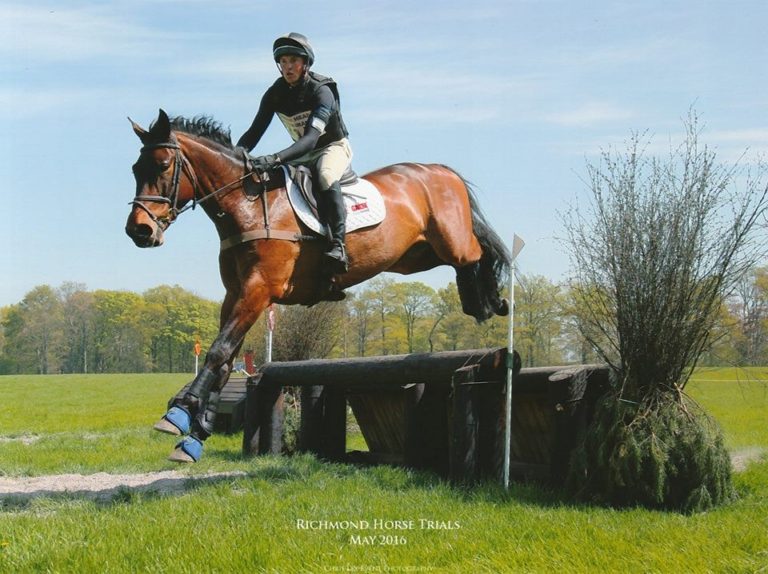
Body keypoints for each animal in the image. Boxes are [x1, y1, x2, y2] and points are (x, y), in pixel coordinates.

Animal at [125, 109, 511, 462]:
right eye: (134, 169)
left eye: (162, 166)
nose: (138, 230)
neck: (247, 204)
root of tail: (440, 170)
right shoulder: (235, 294)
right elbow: (225, 358)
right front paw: (195, 436)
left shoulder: (258, 290)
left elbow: (219, 351)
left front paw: (178, 412)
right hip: (413, 257)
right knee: (465, 260)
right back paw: (477, 302)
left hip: (449, 242)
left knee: (480, 250)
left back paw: (493, 301)